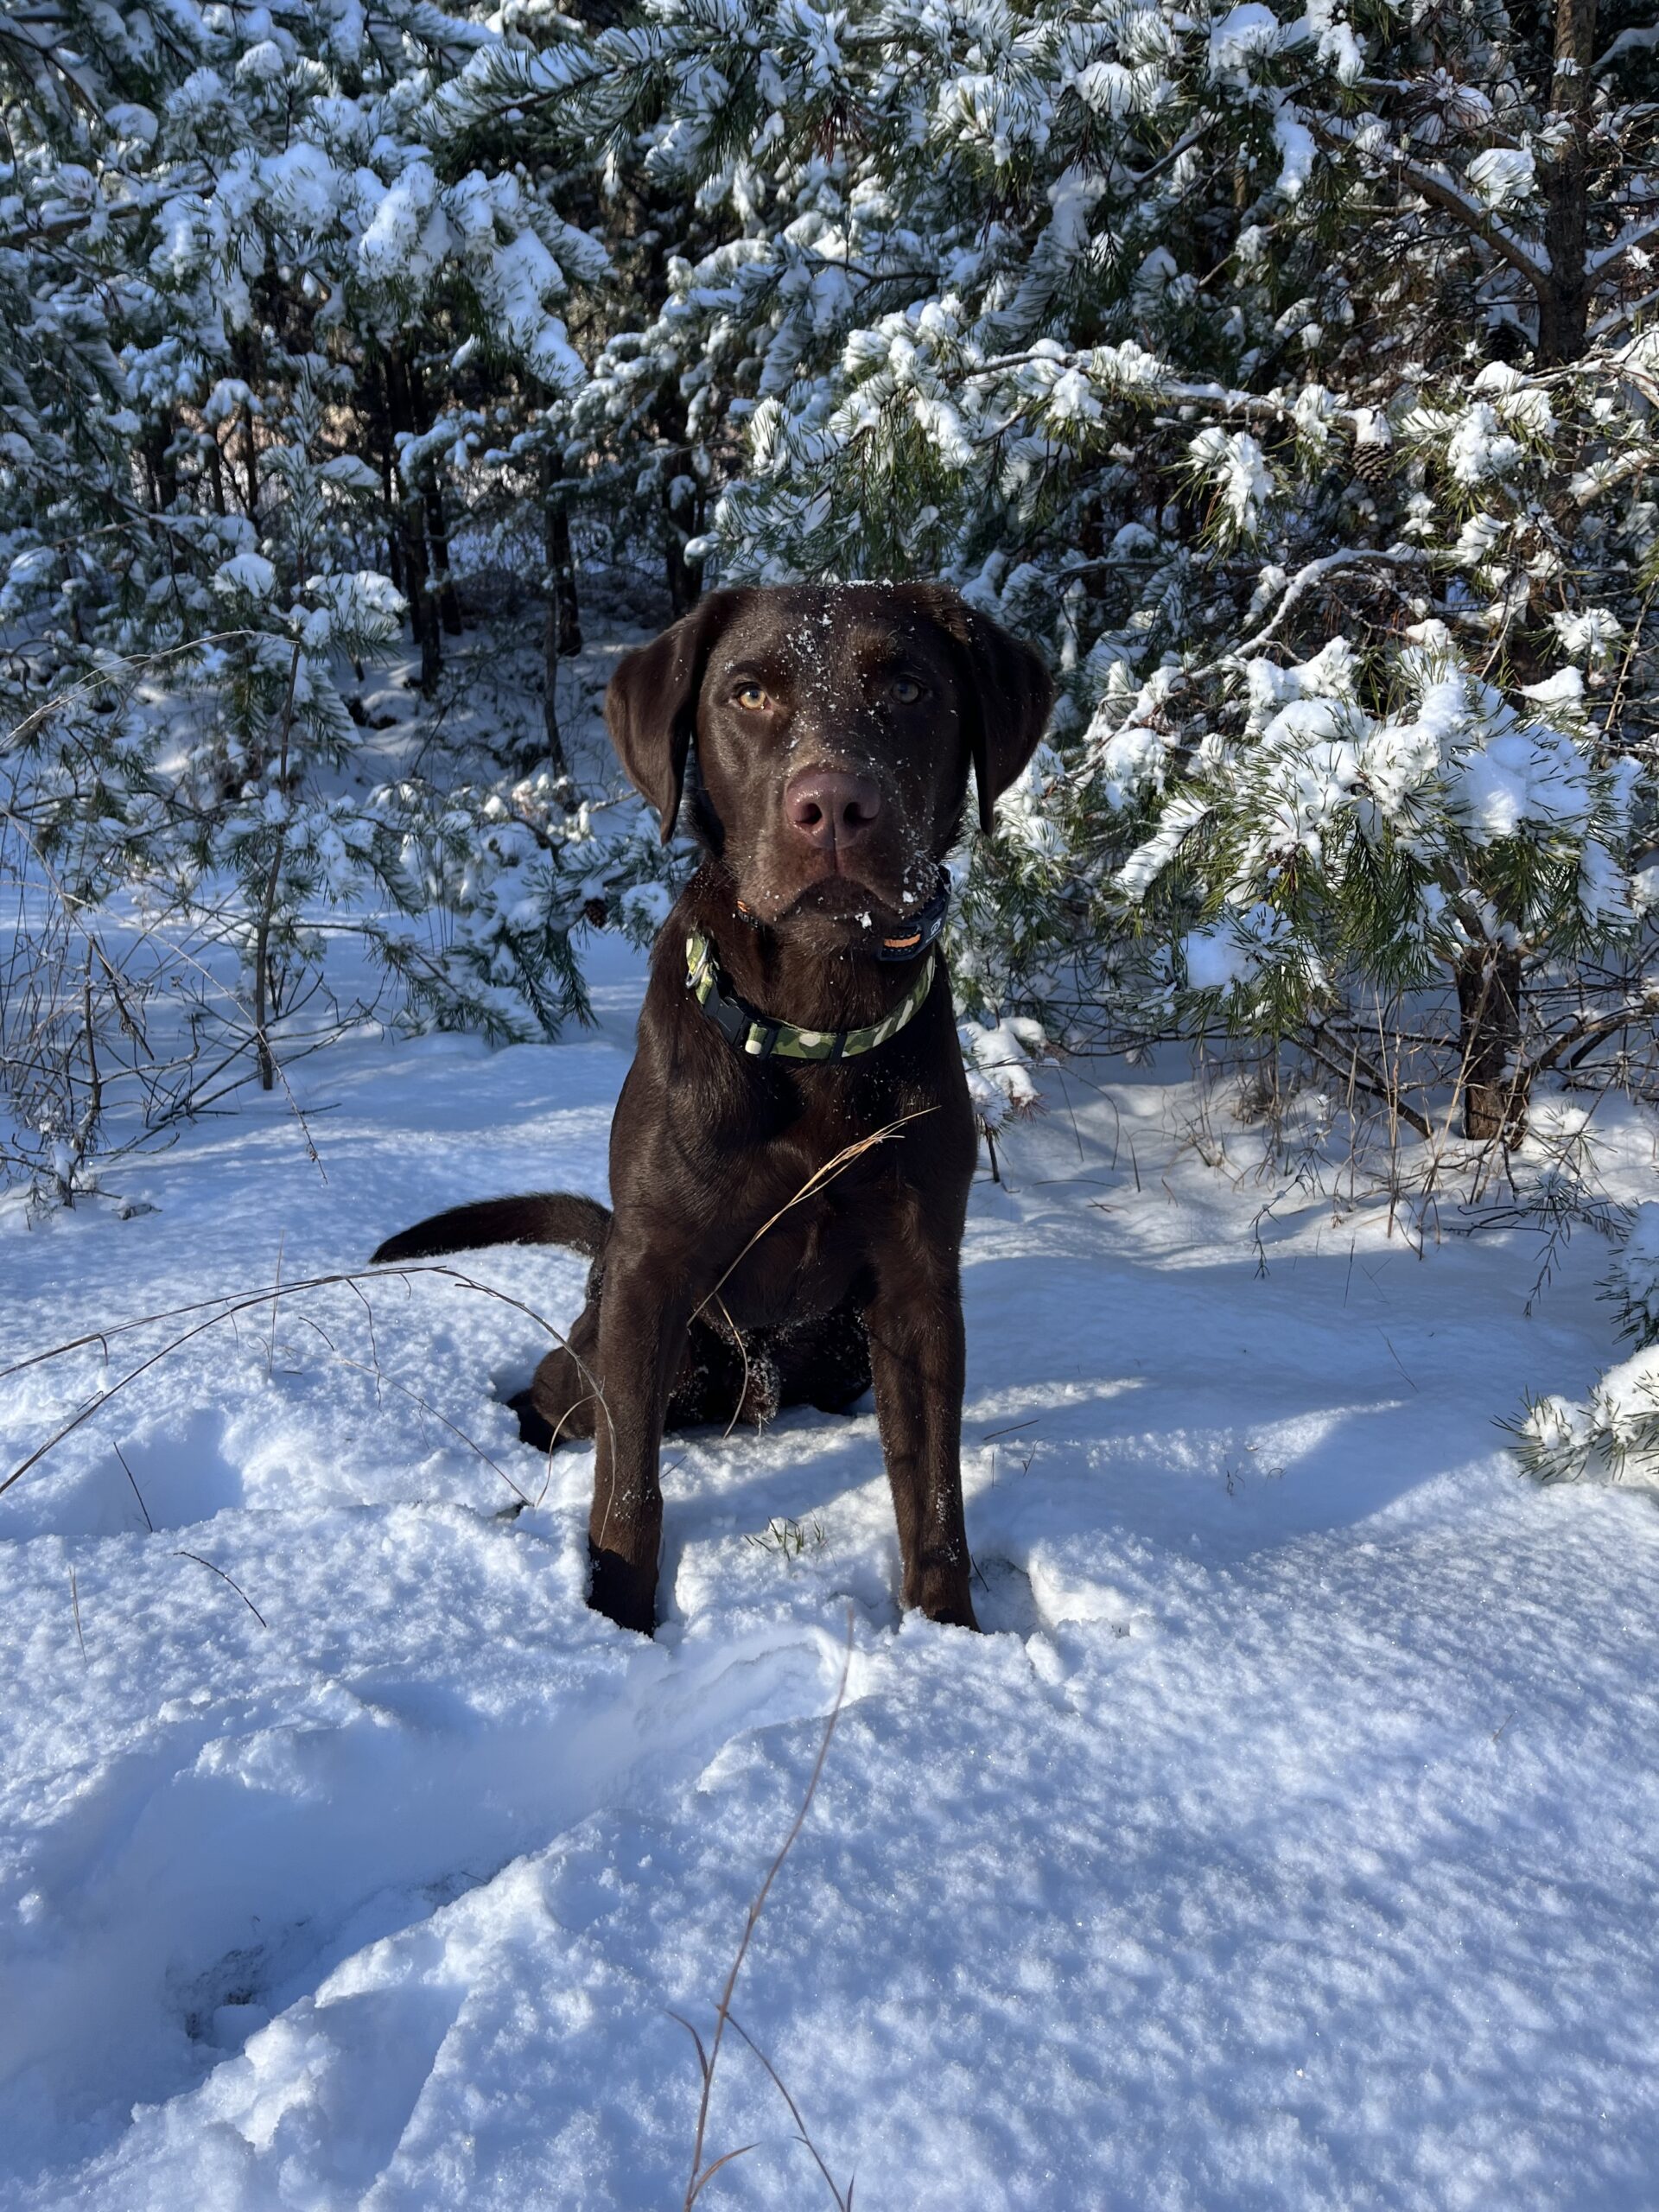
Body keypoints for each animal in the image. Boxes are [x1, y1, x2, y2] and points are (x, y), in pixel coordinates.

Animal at [374, 583, 1052, 1634]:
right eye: (748, 693)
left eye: (907, 685)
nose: (833, 808)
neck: (816, 1021)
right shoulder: (652, 1283)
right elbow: (629, 1489)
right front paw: (615, 1617)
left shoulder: (919, 1282)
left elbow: (934, 1492)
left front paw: (950, 1637)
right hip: (622, 1334)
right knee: (551, 1401)